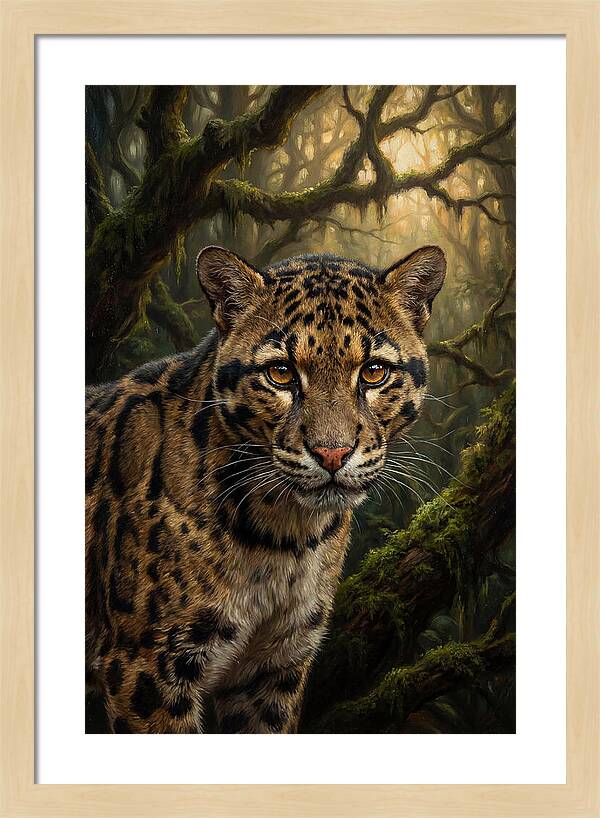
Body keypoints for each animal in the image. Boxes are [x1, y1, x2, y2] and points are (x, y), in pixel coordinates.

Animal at [85, 243, 446, 733]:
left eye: (373, 372)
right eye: (280, 373)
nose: (332, 453)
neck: (285, 535)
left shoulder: (276, 665)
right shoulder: (146, 665)